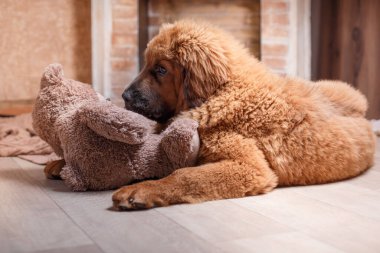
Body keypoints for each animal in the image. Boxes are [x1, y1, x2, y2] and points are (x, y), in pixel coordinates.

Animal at [113, 19, 374, 210]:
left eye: (160, 70)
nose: (124, 96)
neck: (224, 90)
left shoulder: (250, 166)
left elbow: (184, 175)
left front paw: (142, 190)